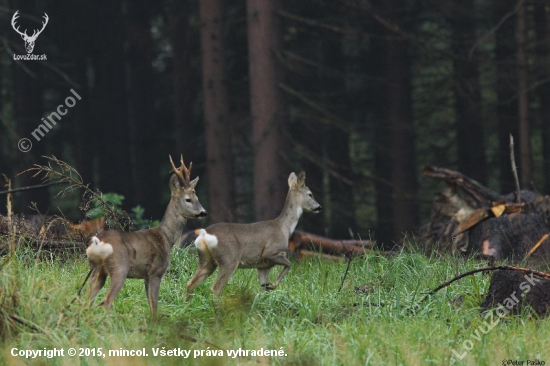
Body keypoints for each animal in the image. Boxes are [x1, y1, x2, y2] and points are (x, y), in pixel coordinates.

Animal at [86, 154, 207, 318]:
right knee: (106, 301)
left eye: (197, 197)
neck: (166, 238)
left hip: (97, 269)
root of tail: (97, 242)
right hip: (119, 268)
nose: (203, 212)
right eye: (188, 199)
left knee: (87, 298)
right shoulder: (156, 271)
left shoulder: (146, 276)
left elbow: (150, 304)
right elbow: (154, 305)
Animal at [188, 171, 322, 294]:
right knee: (215, 289)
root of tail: (204, 234)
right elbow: (289, 264)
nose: (319, 207)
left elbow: (263, 290)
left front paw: (267, 288)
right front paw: (272, 285)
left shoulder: (262, 266)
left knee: (190, 284)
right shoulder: (270, 252)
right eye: (310, 194)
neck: (284, 228)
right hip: (229, 259)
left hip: (206, 260)